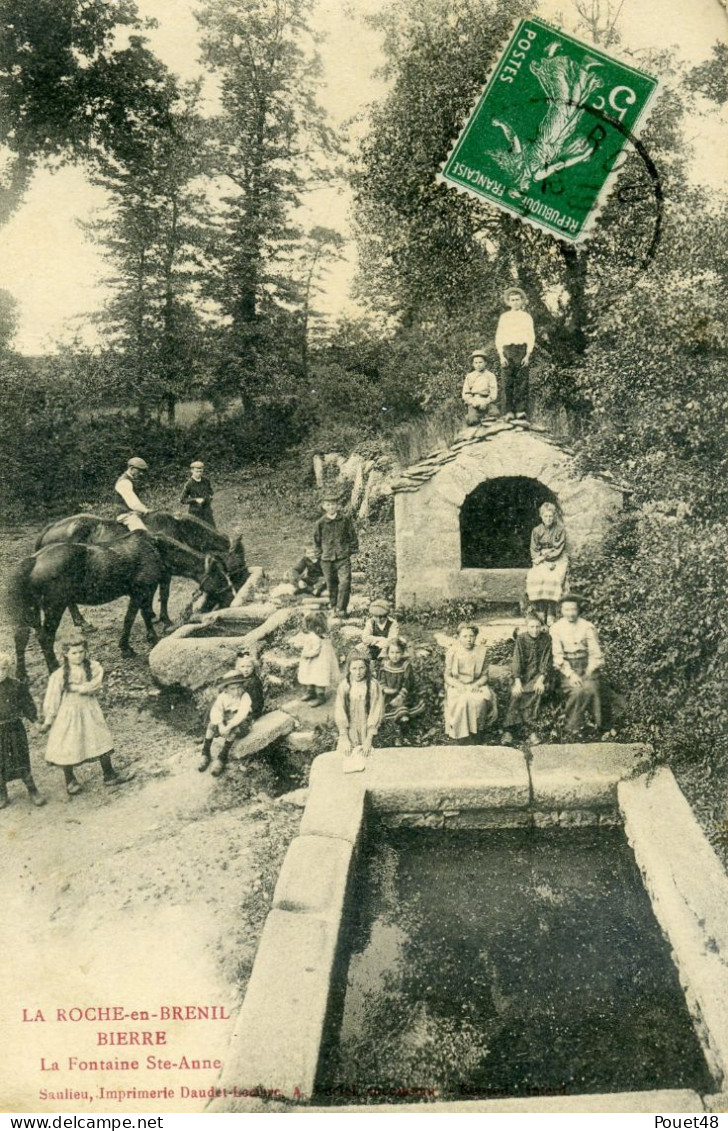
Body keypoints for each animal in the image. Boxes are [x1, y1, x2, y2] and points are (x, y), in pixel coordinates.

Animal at [9, 531, 236, 678]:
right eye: (219, 577)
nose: (232, 597)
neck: (155, 550)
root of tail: (33, 560)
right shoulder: (141, 591)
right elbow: (133, 617)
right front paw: (134, 644)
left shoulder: (142, 592)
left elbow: (142, 615)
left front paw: (136, 642)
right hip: (54, 606)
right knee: (45, 637)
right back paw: (54, 668)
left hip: (32, 609)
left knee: (22, 638)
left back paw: (22, 674)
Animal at [34, 513, 247, 628]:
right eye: (239, 560)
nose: (243, 582)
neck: (177, 526)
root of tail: (50, 528)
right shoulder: (165, 574)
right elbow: (164, 595)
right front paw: (164, 619)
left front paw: (152, 614)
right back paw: (81, 621)